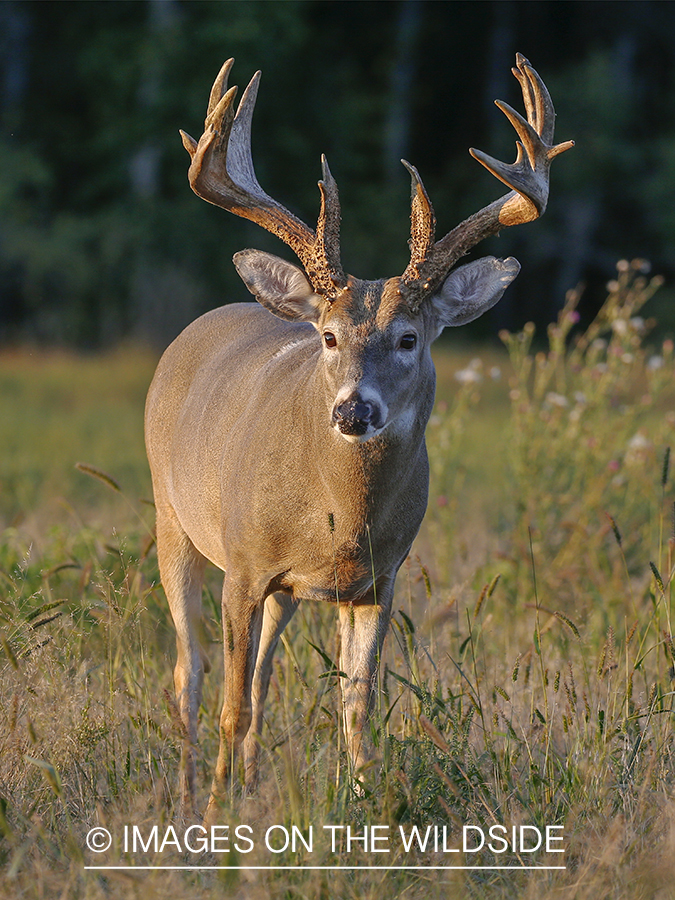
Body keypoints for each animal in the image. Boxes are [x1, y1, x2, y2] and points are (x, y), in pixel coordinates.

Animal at [145, 51, 572, 824]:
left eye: (409, 338)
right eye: (328, 336)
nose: (352, 412)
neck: (338, 514)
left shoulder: (379, 577)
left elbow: (355, 708)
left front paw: (365, 806)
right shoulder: (244, 564)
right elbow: (228, 703)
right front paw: (219, 814)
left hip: (287, 591)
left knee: (263, 674)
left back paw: (250, 782)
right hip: (173, 519)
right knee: (190, 671)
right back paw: (196, 793)